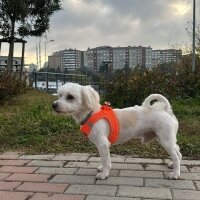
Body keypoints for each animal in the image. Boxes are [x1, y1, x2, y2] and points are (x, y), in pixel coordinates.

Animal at [52, 82, 182, 180]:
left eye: (70, 97)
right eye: (59, 95)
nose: (54, 105)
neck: (91, 114)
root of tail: (165, 110)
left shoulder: (103, 144)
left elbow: (105, 160)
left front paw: (104, 174)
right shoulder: (102, 146)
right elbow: (105, 160)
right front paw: (103, 169)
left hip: (165, 140)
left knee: (176, 156)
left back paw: (176, 174)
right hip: (169, 140)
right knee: (178, 152)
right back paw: (173, 166)